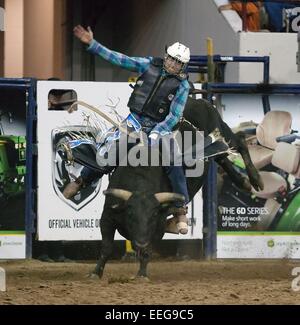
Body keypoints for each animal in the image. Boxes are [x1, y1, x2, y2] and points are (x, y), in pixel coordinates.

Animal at [63, 94, 264, 278]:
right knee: (222, 156)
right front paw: (95, 272)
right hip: (215, 145)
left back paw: (256, 180)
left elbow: (148, 251)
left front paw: (142, 274)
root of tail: (198, 100)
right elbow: (106, 247)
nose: (140, 242)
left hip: (221, 130)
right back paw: (244, 182)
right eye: (130, 213)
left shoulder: (158, 226)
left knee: (239, 142)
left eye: (153, 215)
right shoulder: (107, 216)